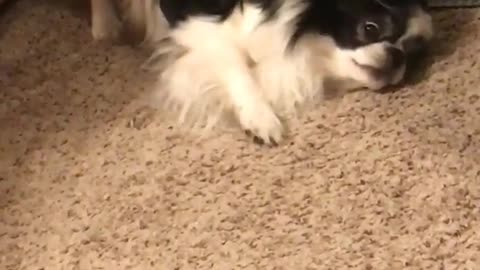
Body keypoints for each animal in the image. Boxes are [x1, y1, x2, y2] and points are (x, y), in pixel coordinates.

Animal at [91, 0, 436, 146]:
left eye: (413, 53)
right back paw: (105, 26)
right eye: (370, 28)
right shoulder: (201, 27)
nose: (396, 57)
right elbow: (238, 69)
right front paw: (261, 120)